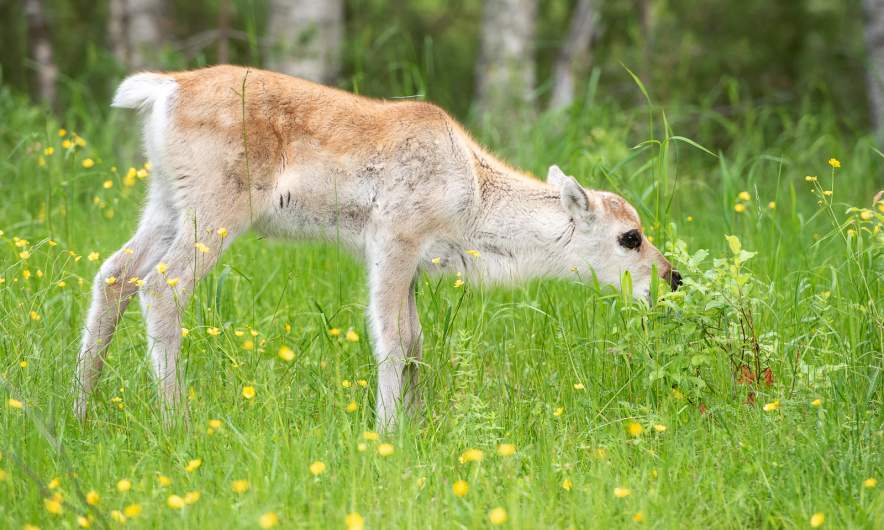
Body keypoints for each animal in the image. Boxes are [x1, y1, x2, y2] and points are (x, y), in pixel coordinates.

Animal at [74, 65, 681, 431]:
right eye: (630, 237)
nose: (671, 278)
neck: (473, 201)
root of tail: (164, 88)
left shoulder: (413, 262)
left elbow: (416, 342)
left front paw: (416, 423)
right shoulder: (393, 238)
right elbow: (390, 341)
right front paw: (387, 432)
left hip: (165, 203)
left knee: (115, 274)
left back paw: (81, 408)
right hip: (215, 209)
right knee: (162, 287)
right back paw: (177, 420)